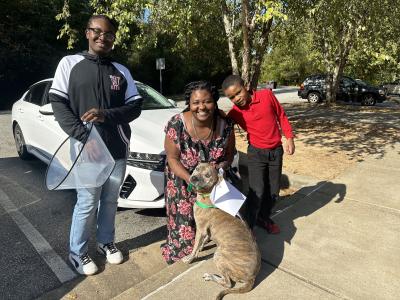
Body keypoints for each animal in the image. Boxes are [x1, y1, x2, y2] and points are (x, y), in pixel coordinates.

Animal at [183, 163, 260, 298]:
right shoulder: (206, 232)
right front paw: (199, 250)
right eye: (197, 168)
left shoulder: (201, 229)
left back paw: (210, 276)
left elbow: (195, 246)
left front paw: (190, 258)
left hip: (219, 255)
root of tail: (252, 278)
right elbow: (201, 243)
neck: (208, 194)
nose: (194, 178)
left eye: (207, 175)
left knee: (228, 283)